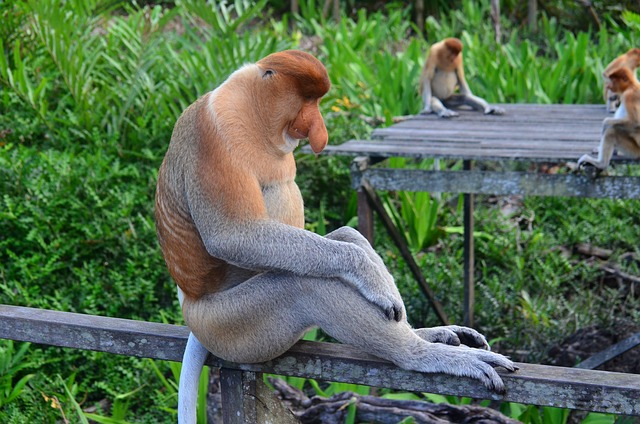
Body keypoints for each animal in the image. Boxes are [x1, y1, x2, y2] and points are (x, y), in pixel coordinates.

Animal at [155, 48, 516, 420]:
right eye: (307, 101)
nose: (319, 130)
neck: (251, 110)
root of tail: (191, 305)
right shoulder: (212, 134)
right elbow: (232, 236)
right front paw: (371, 277)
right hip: (231, 326)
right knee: (303, 285)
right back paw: (423, 354)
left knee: (341, 237)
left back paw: (429, 334)